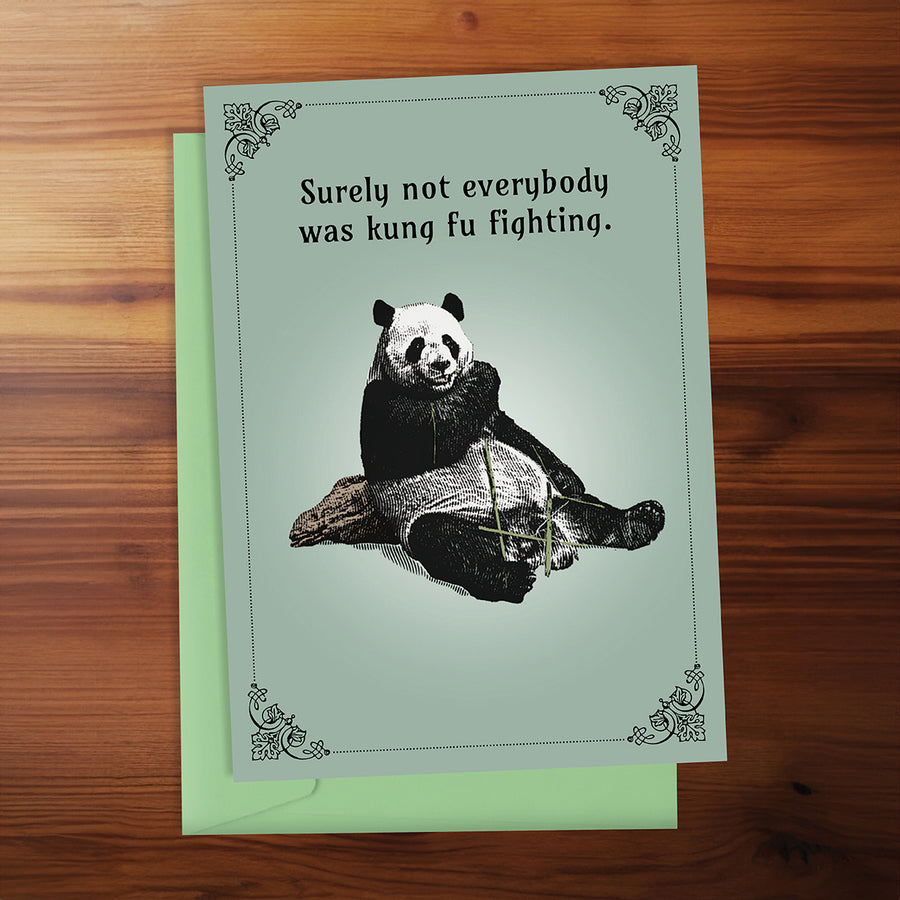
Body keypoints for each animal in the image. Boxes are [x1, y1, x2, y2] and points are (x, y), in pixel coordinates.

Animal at [360, 293, 664, 603]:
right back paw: (511, 579)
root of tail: (534, 541)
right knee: (448, 544)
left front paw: (569, 478)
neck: (442, 392)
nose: (441, 364)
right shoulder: (380, 402)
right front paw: (484, 373)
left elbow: (516, 433)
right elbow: (423, 442)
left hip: (553, 502)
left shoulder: (488, 416)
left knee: (590, 512)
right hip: (438, 516)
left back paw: (642, 520)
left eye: (448, 341)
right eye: (417, 345)